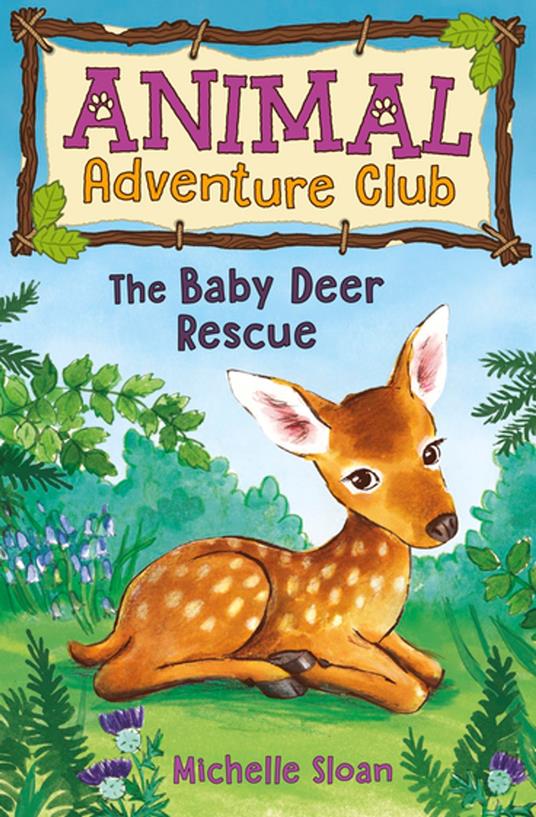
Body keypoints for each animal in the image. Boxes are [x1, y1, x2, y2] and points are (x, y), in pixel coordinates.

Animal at [69, 305, 458, 713]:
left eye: (432, 450)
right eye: (362, 477)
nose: (444, 524)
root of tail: (124, 620)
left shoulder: (381, 635)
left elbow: (433, 669)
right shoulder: (326, 631)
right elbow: (411, 691)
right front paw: (313, 668)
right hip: (240, 585)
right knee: (114, 678)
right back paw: (280, 673)